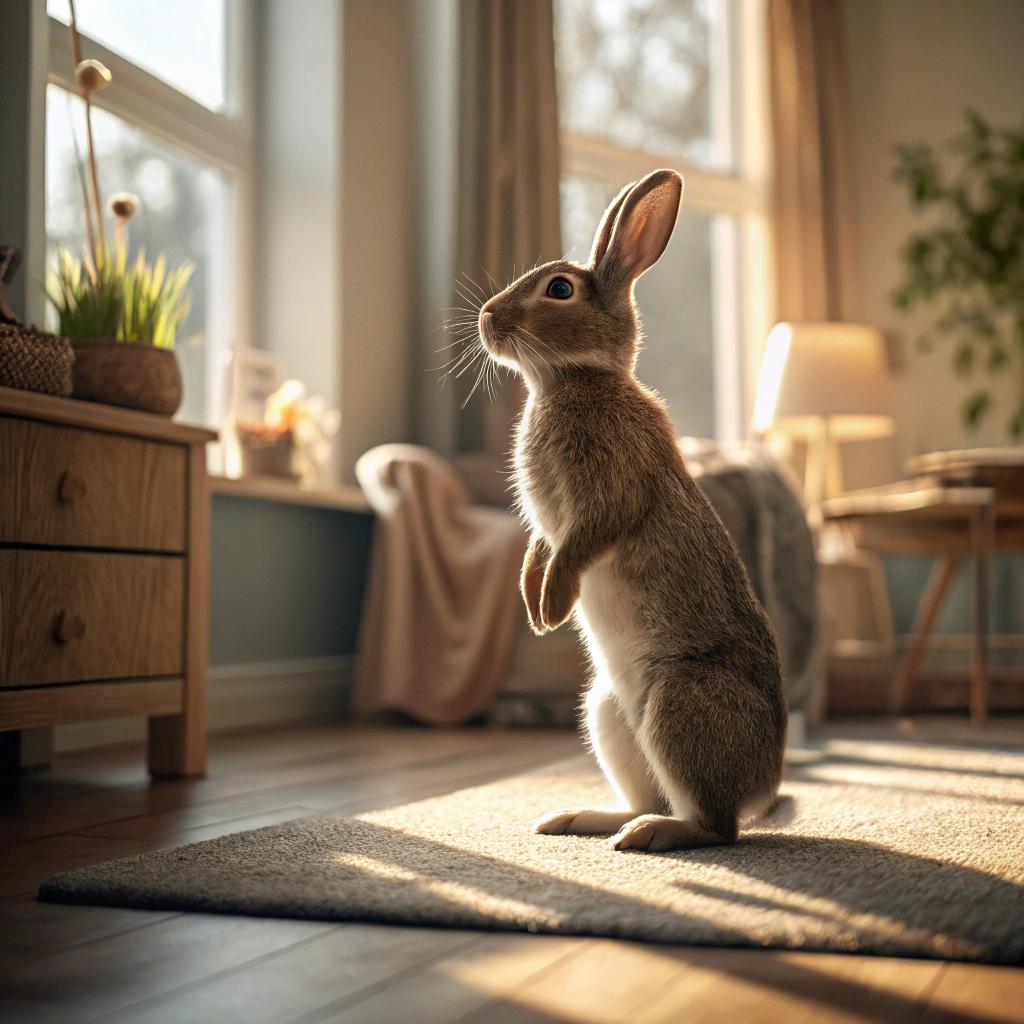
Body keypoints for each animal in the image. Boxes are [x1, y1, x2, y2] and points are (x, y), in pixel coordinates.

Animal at [475, 168, 786, 852]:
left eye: (560, 289)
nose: (486, 318)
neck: (569, 379)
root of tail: (766, 785)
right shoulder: (547, 523)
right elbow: (541, 547)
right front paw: (537, 605)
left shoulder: (607, 493)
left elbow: (584, 539)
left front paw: (554, 603)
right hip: (608, 712)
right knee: (648, 795)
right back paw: (580, 820)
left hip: (678, 705)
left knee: (716, 827)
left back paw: (650, 836)